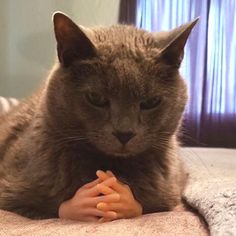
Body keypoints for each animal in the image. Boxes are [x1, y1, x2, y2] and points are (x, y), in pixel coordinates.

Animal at [0, 12, 197, 219]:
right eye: (96, 98)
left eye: (151, 102)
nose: (124, 133)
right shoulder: (12, 194)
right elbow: (53, 209)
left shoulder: (170, 194)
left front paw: (122, 199)